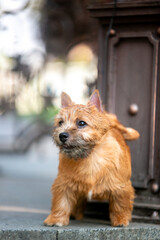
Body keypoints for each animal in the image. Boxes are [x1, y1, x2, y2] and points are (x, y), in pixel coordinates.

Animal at [44, 89, 139, 227]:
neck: (90, 157)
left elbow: (120, 204)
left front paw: (120, 219)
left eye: (81, 123)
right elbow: (61, 202)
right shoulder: (64, 183)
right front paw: (56, 219)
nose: (62, 135)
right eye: (60, 122)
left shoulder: (120, 186)